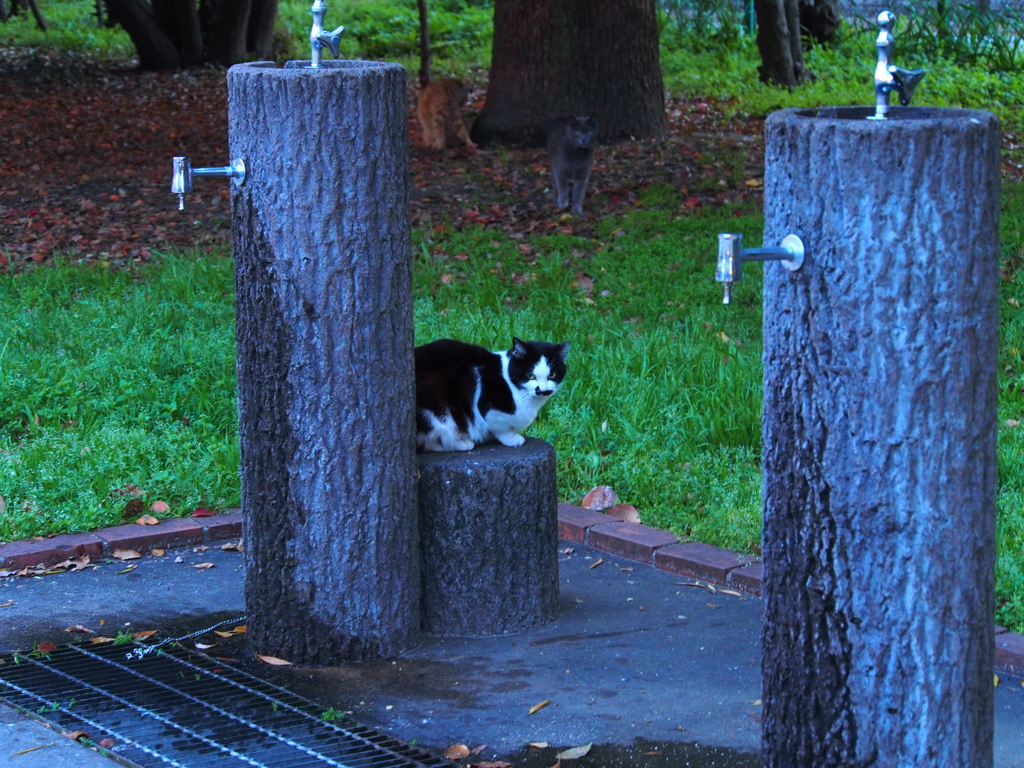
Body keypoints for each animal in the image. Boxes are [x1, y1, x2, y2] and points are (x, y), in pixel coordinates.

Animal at [413, 339, 573, 454]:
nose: (543, 390)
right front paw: (512, 438)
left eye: (552, 375)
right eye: (530, 375)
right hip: (435, 394)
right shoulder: (488, 405)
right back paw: (460, 443)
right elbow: (500, 428)